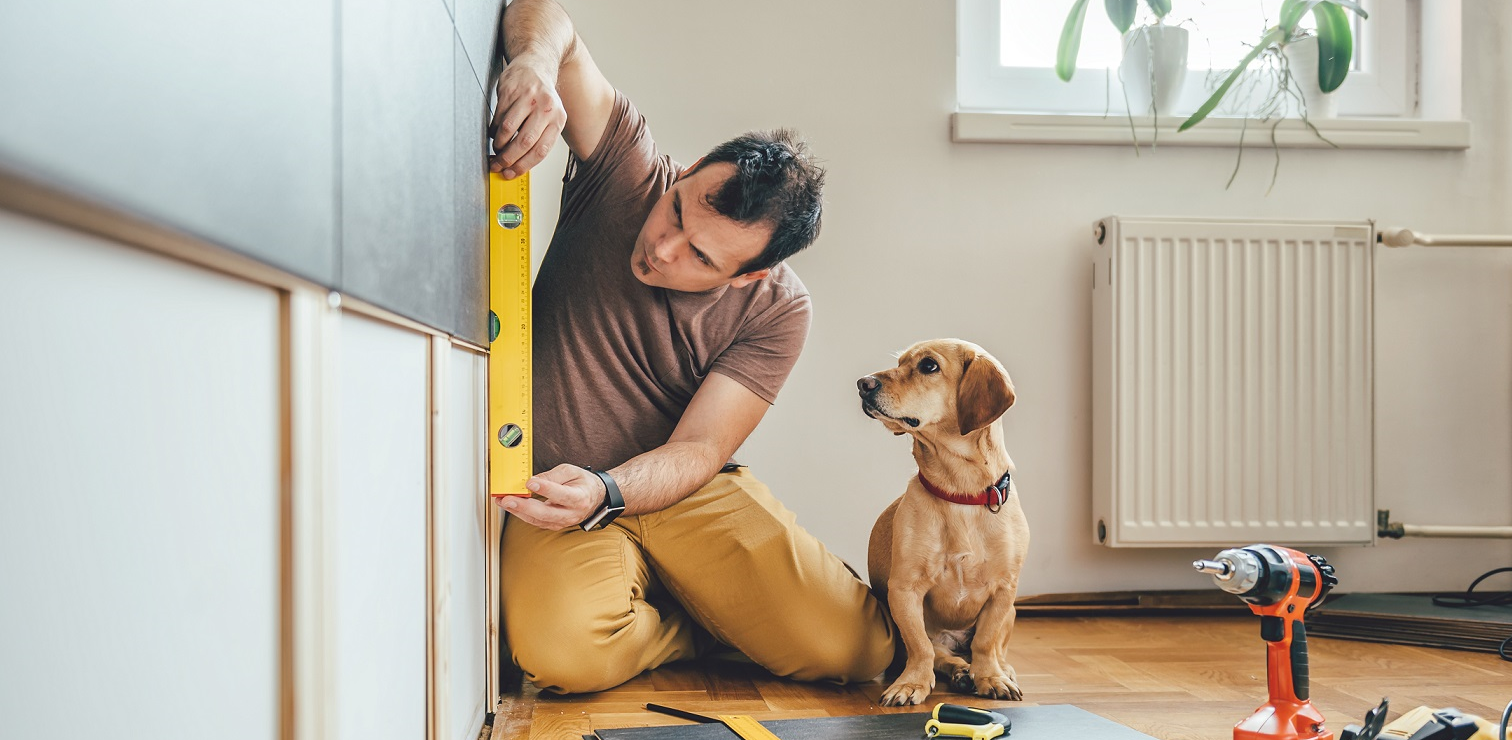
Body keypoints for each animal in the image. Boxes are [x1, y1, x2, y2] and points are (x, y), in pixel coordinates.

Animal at [858, 338, 1034, 705]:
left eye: (929, 366)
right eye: (900, 362)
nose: (862, 383)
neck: (960, 493)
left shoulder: (1004, 591)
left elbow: (985, 641)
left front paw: (990, 677)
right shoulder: (905, 590)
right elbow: (921, 648)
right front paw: (912, 683)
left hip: (1011, 612)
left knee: (994, 649)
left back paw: (995, 670)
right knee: (942, 655)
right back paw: (961, 672)